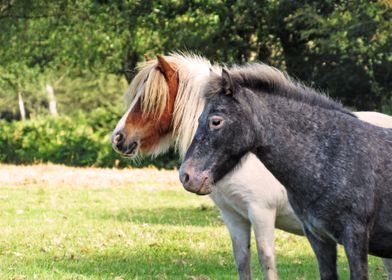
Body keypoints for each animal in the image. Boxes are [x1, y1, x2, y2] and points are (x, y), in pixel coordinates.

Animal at [112, 53, 392, 280]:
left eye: (146, 100)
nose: (118, 138)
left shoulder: (261, 211)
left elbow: (266, 260)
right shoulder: (234, 217)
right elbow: (242, 261)